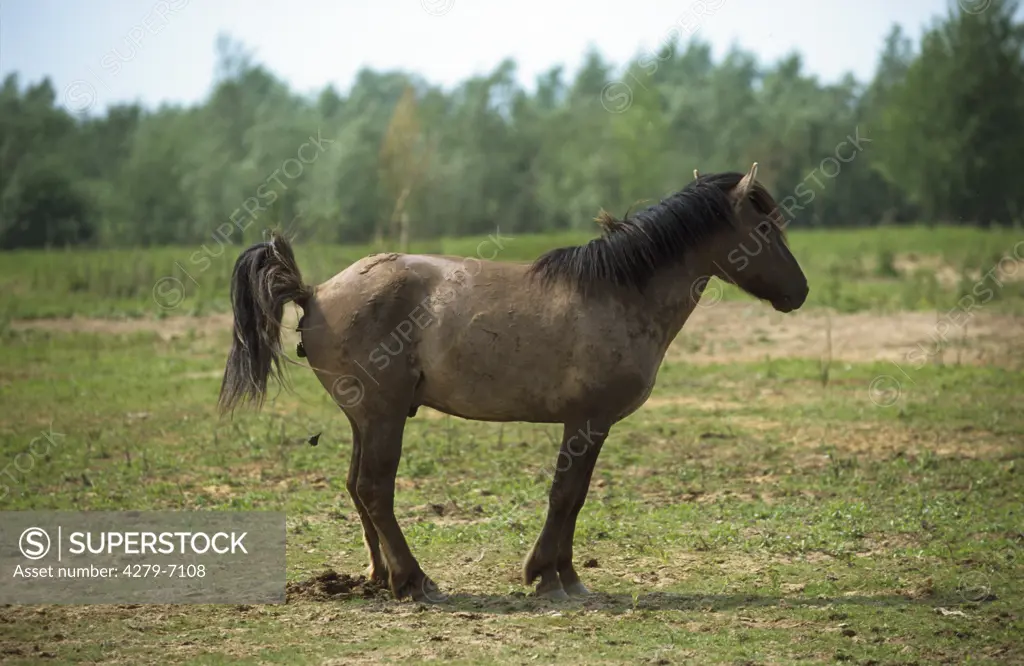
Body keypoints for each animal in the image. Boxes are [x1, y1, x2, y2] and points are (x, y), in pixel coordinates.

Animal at [218, 161, 806, 602]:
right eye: (764, 228)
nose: (798, 292)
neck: (619, 293)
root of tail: (314, 291)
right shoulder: (587, 421)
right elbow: (566, 495)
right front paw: (551, 577)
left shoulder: (587, 425)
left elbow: (573, 496)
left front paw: (560, 574)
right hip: (383, 417)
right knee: (374, 489)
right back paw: (415, 581)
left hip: (365, 418)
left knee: (357, 488)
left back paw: (381, 578)